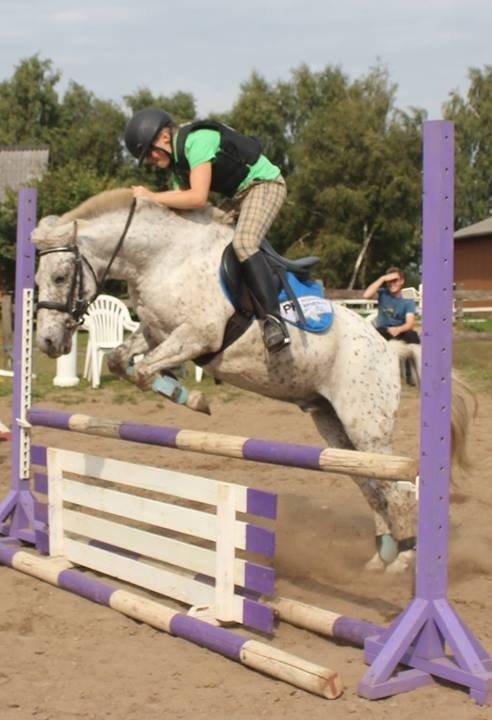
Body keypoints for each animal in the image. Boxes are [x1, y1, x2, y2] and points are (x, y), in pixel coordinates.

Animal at [32, 188, 472, 573]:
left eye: (60, 277)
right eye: (36, 280)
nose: (48, 342)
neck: (162, 258)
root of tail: (388, 349)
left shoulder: (198, 335)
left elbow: (143, 370)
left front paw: (192, 398)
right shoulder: (157, 333)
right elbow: (121, 362)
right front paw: (182, 390)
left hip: (367, 425)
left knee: (399, 489)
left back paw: (404, 560)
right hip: (334, 426)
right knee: (370, 484)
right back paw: (382, 556)